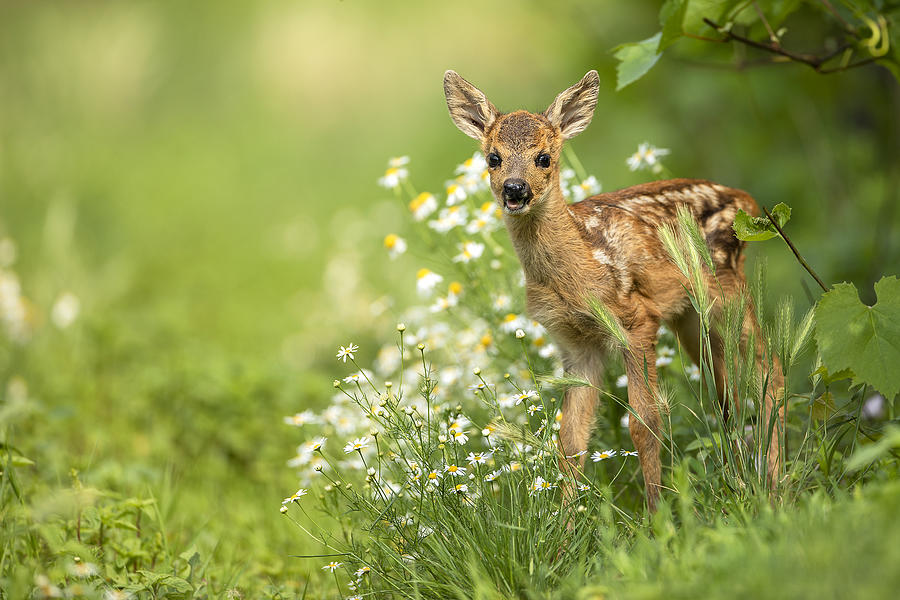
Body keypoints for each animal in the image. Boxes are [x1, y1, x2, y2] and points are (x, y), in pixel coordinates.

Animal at [446, 70, 784, 510]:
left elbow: (645, 421)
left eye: (544, 158)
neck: (577, 268)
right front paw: (565, 523)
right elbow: (570, 442)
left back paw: (775, 488)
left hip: (726, 292)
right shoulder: (575, 344)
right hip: (692, 317)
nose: (515, 190)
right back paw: (745, 480)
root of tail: (748, 201)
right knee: (726, 392)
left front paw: (657, 515)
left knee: (770, 374)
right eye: (493, 158)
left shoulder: (635, 319)